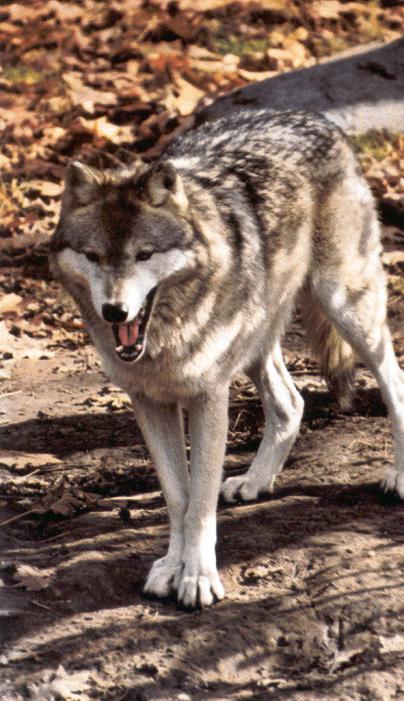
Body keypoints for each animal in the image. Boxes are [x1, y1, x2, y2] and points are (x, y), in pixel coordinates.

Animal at [50, 109, 404, 608]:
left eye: (144, 254)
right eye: (93, 256)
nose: (114, 311)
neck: (164, 339)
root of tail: (315, 120)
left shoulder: (209, 396)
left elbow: (200, 503)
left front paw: (198, 577)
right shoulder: (148, 401)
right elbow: (178, 498)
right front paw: (172, 566)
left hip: (345, 305)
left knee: (394, 383)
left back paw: (399, 476)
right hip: (257, 338)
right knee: (291, 403)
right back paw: (255, 482)